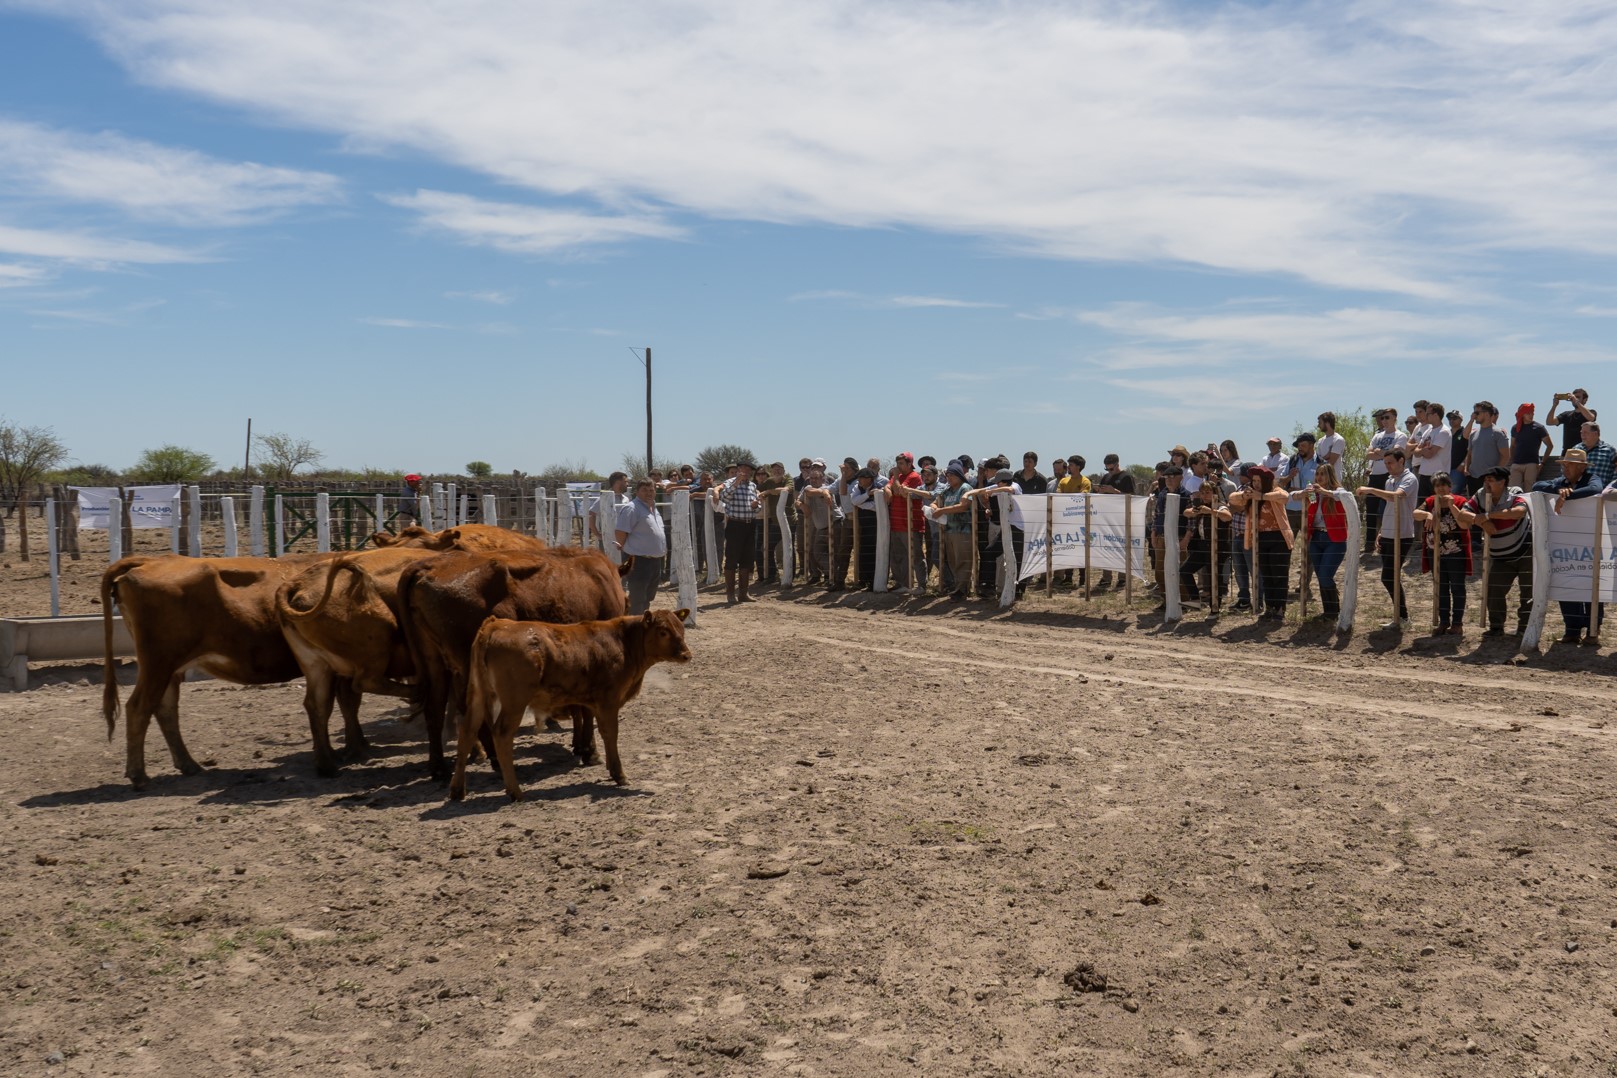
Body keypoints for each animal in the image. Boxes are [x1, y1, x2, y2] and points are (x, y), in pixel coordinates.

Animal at [106, 552, 360, 788]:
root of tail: (153, 560)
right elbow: (341, 703)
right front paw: (349, 751)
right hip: (158, 663)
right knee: (139, 708)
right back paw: (139, 776)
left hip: (169, 670)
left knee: (165, 709)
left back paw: (188, 765)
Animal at [397, 549, 630, 775]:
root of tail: (428, 566)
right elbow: (586, 708)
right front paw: (590, 751)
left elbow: (578, 708)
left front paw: (579, 745)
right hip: (466, 664)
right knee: (471, 709)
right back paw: (493, 757)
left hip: (435, 662)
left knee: (434, 708)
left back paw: (439, 767)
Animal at [449, 607, 688, 801]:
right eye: (663, 631)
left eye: (681, 628)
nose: (686, 654)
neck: (623, 643)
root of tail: (496, 625)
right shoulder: (608, 701)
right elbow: (610, 733)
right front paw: (619, 774)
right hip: (514, 701)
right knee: (501, 734)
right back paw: (515, 791)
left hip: (478, 694)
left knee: (467, 731)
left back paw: (457, 790)